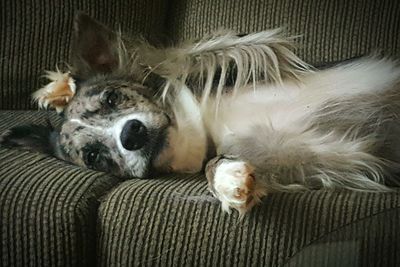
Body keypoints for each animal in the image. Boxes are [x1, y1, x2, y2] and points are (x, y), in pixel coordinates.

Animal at [0, 13, 400, 217]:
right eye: (94, 156)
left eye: (112, 98)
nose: (131, 134)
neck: (204, 131)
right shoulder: (310, 161)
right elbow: (215, 165)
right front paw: (230, 181)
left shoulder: (240, 53)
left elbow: (178, 54)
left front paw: (57, 89)